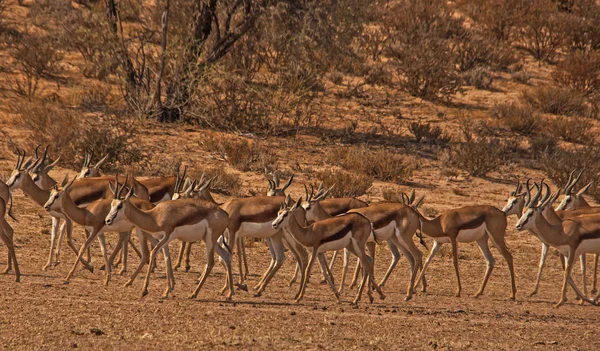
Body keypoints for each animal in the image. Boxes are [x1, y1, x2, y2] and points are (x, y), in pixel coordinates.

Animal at [103, 183, 234, 302]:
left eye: (120, 206)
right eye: (112, 204)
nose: (107, 220)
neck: (155, 217)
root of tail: (225, 214)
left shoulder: (166, 237)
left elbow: (153, 253)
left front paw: (144, 290)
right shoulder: (164, 241)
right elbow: (166, 259)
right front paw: (166, 292)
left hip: (210, 241)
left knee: (210, 263)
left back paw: (194, 294)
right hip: (209, 240)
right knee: (226, 256)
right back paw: (229, 294)